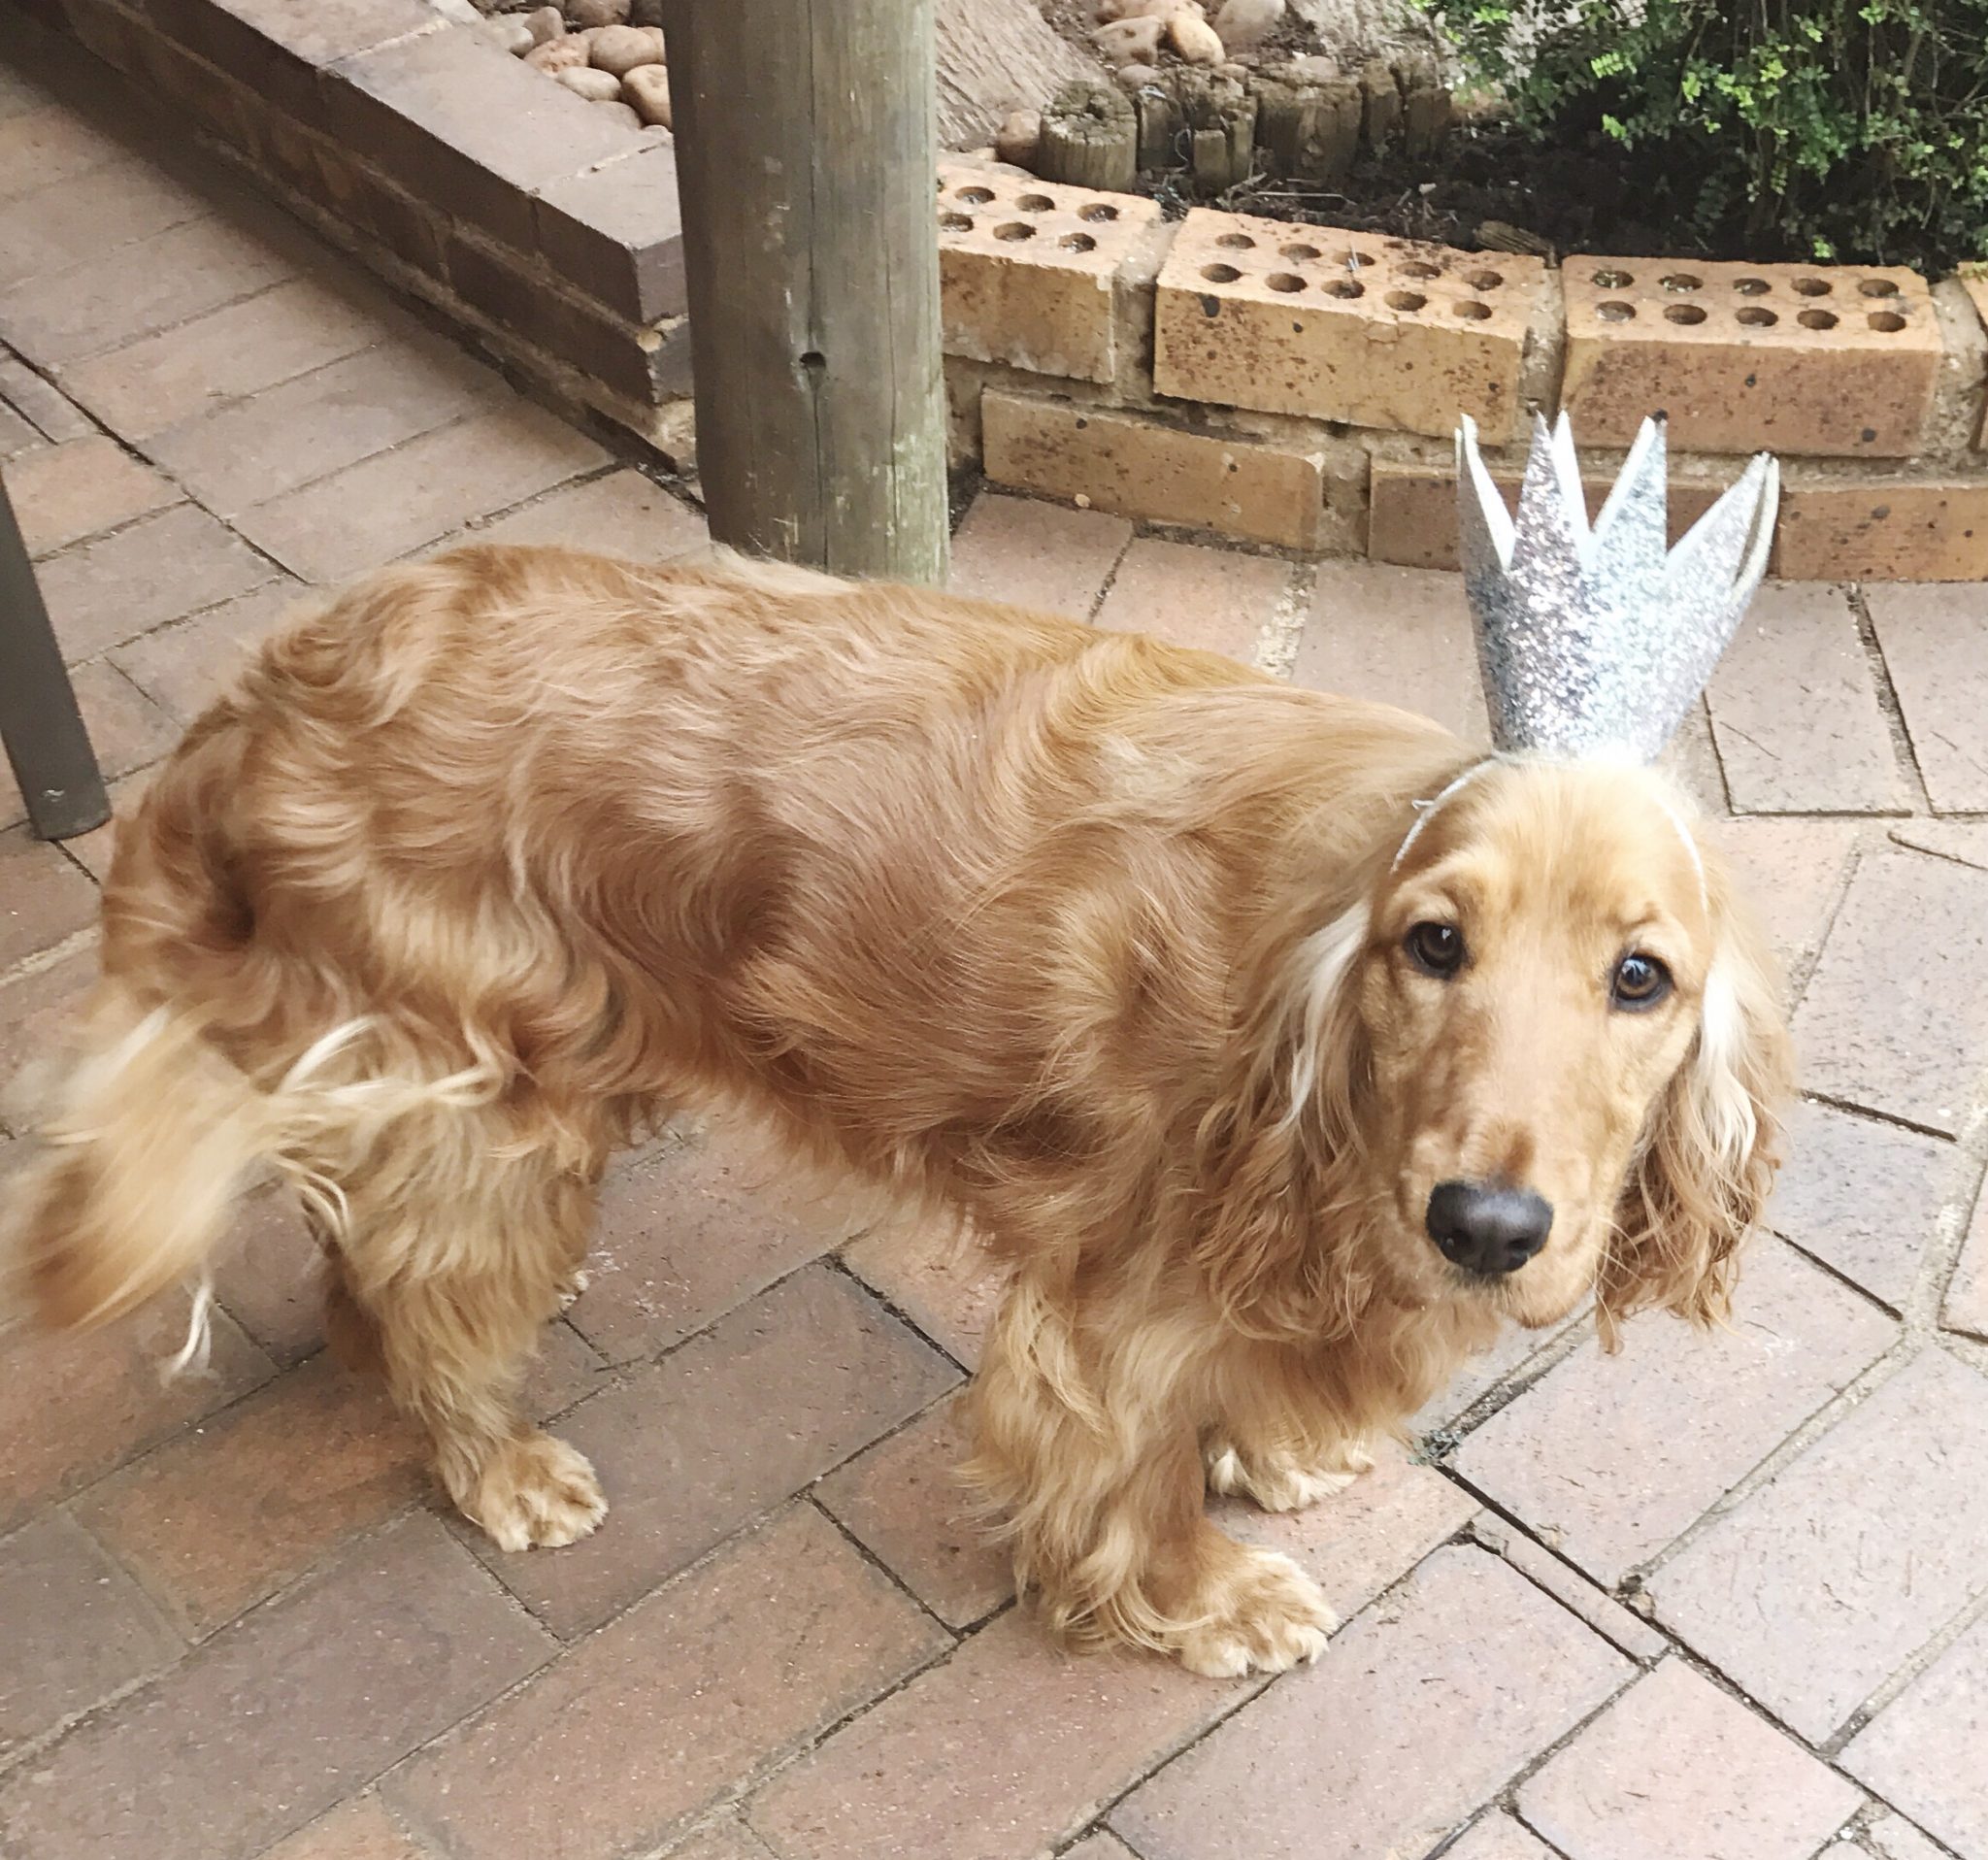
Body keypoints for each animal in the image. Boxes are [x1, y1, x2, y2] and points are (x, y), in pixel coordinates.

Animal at [0, 544, 1797, 1677]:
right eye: (1435, 945)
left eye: (1639, 977)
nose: (1486, 1227)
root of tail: (267, 694)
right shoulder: (1111, 1313)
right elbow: (1134, 1482)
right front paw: (1202, 1598)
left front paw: (1279, 1455)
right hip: (483, 1115)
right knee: (420, 1285)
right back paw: (494, 1460)